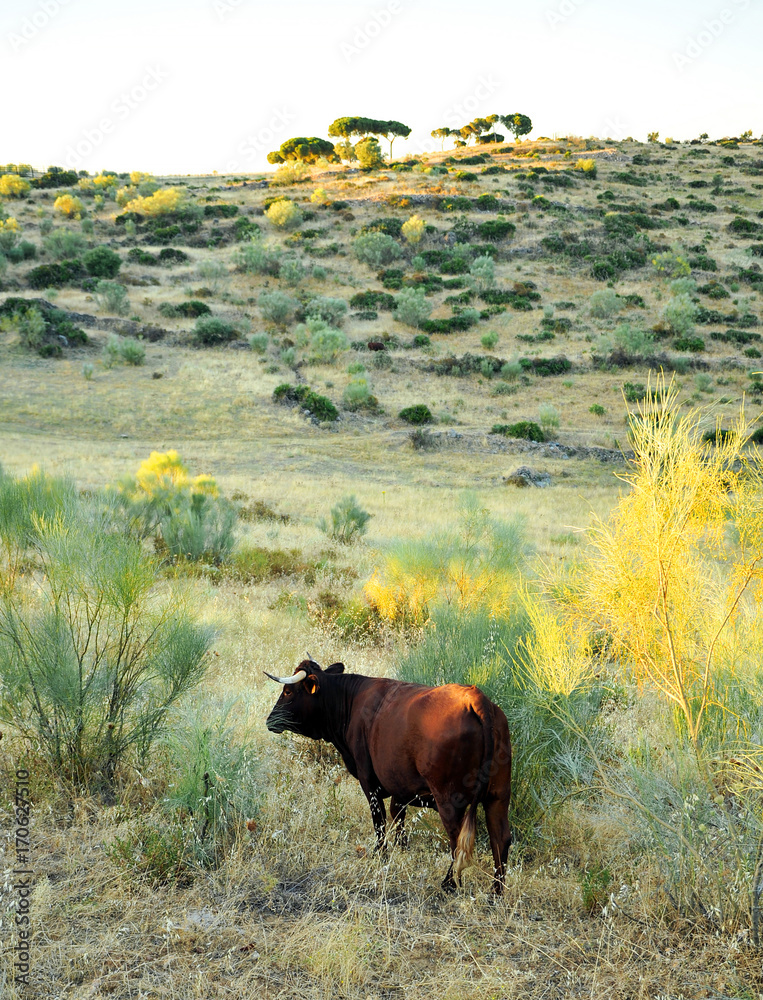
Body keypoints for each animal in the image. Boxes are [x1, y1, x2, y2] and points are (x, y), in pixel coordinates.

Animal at [264, 656, 512, 892]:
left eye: (288, 691)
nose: (270, 720)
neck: (351, 701)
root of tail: (476, 698)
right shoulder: (400, 786)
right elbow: (397, 817)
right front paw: (402, 850)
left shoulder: (368, 779)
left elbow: (379, 821)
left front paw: (381, 855)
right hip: (498, 796)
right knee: (501, 839)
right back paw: (495, 892)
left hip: (449, 799)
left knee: (457, 840)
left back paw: (449, 884)